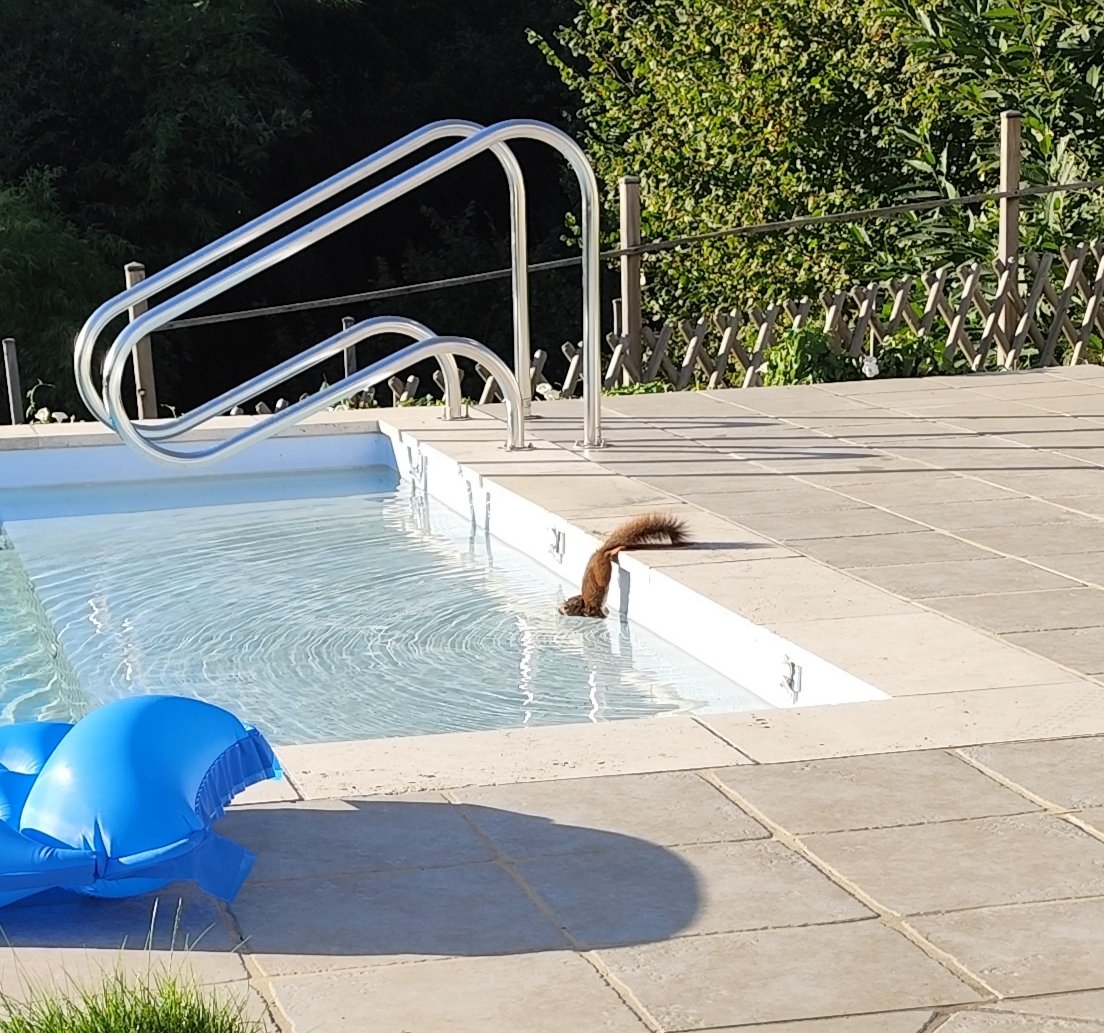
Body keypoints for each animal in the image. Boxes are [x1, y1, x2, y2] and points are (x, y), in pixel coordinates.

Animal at [559, 512, 689, 618]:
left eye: (567, 606)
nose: (562, 608)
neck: (583, 605)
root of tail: (598, 553)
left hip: (601, 571)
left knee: (607, 556)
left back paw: (617, 549)